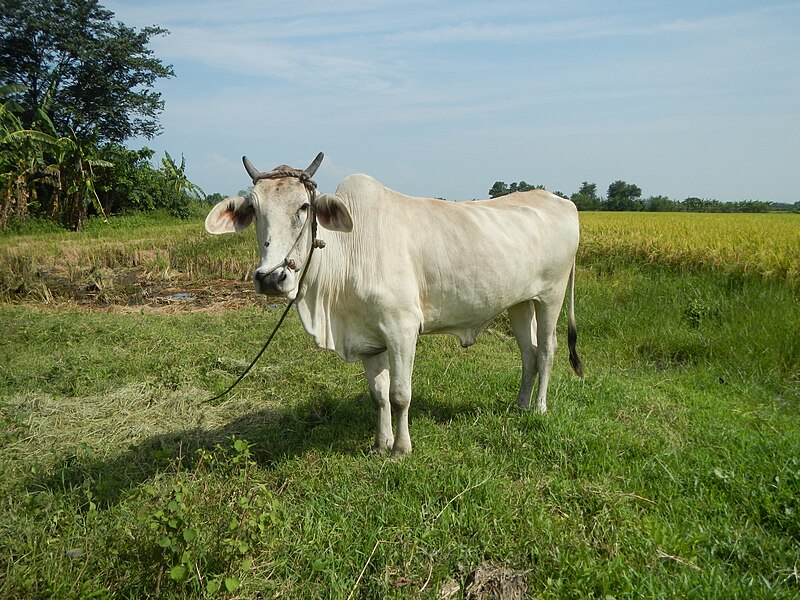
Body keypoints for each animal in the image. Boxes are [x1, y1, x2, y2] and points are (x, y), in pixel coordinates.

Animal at [206, 154, 580, 454]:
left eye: (304, 206)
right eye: (254, 209)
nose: (270, 278)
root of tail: (565, 203)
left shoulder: (402, 330)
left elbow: (401, 395)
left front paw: (401, 448)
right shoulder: (370, 340)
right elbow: (379, 396)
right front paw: (380, 443)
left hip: (551, 296)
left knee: (547, 350)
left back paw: (539, 409)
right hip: (521, 303)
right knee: (529, 353)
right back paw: (520, 405)